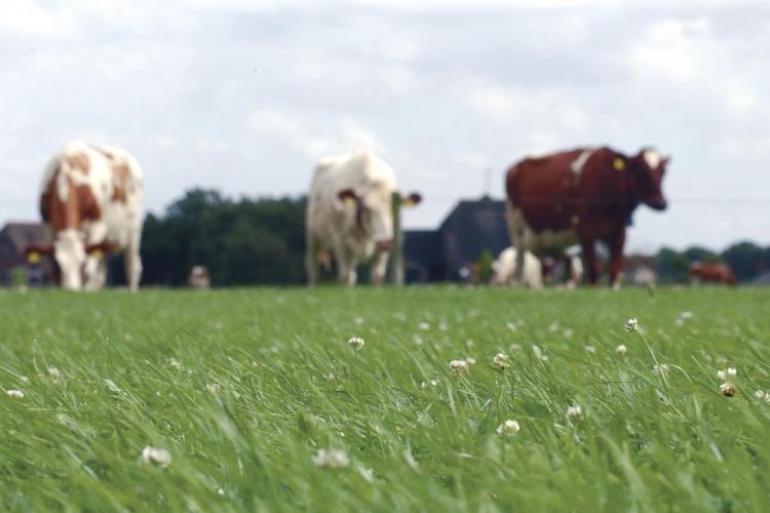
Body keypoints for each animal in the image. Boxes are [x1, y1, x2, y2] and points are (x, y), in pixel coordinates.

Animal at [39, 140, 143, 290]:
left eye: (81, 264)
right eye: (58, 265)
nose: (70, 291)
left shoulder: (97, 225)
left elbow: (90, 266)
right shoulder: (48, 225)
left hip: (133, 231)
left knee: (132, 267)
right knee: (102, 272)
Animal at [304, 150, 420, 286]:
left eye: (394, 208)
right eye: (366, 208)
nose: (385, 243)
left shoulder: (383, 248)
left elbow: (377, 276)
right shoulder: (340, 242)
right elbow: (345, 276)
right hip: (313, 237)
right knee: (313, 267)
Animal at [504, 146, 664, 286]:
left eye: (663, 172)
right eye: (641, 171)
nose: (662, 203)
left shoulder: (619, 231)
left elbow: (614, 269)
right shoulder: (586, 230)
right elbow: (594, 268)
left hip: (552, 239)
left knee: (561, 263)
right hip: (516, 229)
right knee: (520, 261)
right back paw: (519, 285)